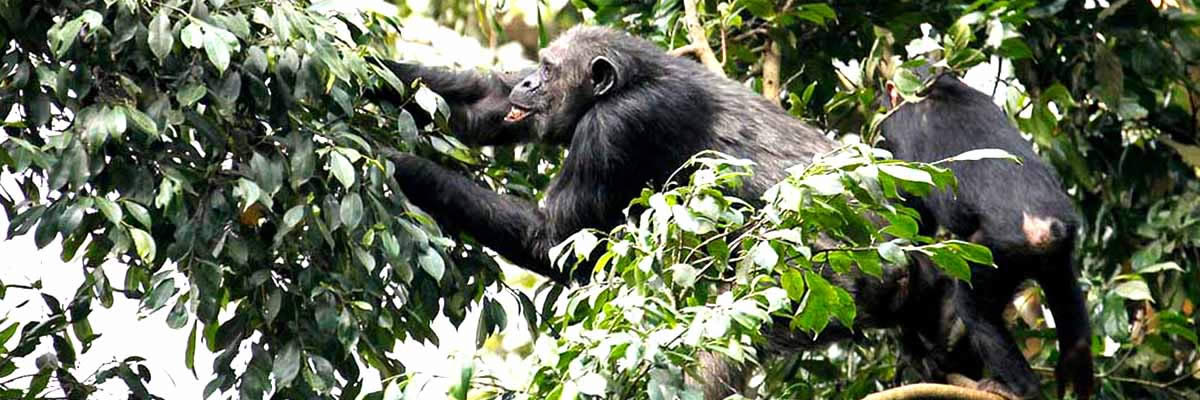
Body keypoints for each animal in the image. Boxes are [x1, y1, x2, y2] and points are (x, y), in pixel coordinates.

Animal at [376, 26, 1032, 396]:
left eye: (550, 69)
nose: (530, 84)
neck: (632, 81)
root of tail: (911, 255)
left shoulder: (617, 127)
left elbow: (555, 239)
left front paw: (399, 165)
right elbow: (480, 100)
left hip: (835, 279)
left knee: (721, 340)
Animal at [878, 73, 1094, 396]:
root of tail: (1046, 224)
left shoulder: (894, 130)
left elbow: (913, 218)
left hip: (993, 253)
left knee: (974, 308)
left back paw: (1019, 387)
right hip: (1057, 251)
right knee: (1065, 293)